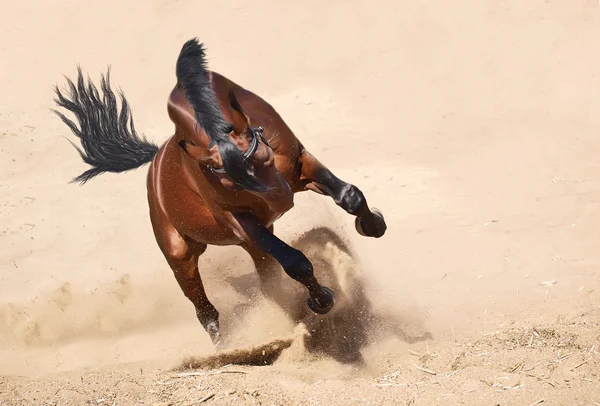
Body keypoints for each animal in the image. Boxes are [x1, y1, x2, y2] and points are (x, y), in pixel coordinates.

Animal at [52, 38, 390, 348]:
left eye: (267, 156)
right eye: (231, 183)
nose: (282, 203)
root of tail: (154, 163)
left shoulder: (302, 164)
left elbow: (350, 196)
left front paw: (372, 224)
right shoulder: (240, 220)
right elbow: (296, 261)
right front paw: (322, 300)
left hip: (254, 244)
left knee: (268, 284)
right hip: (182, 254)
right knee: (205, 310)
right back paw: (227, 347)